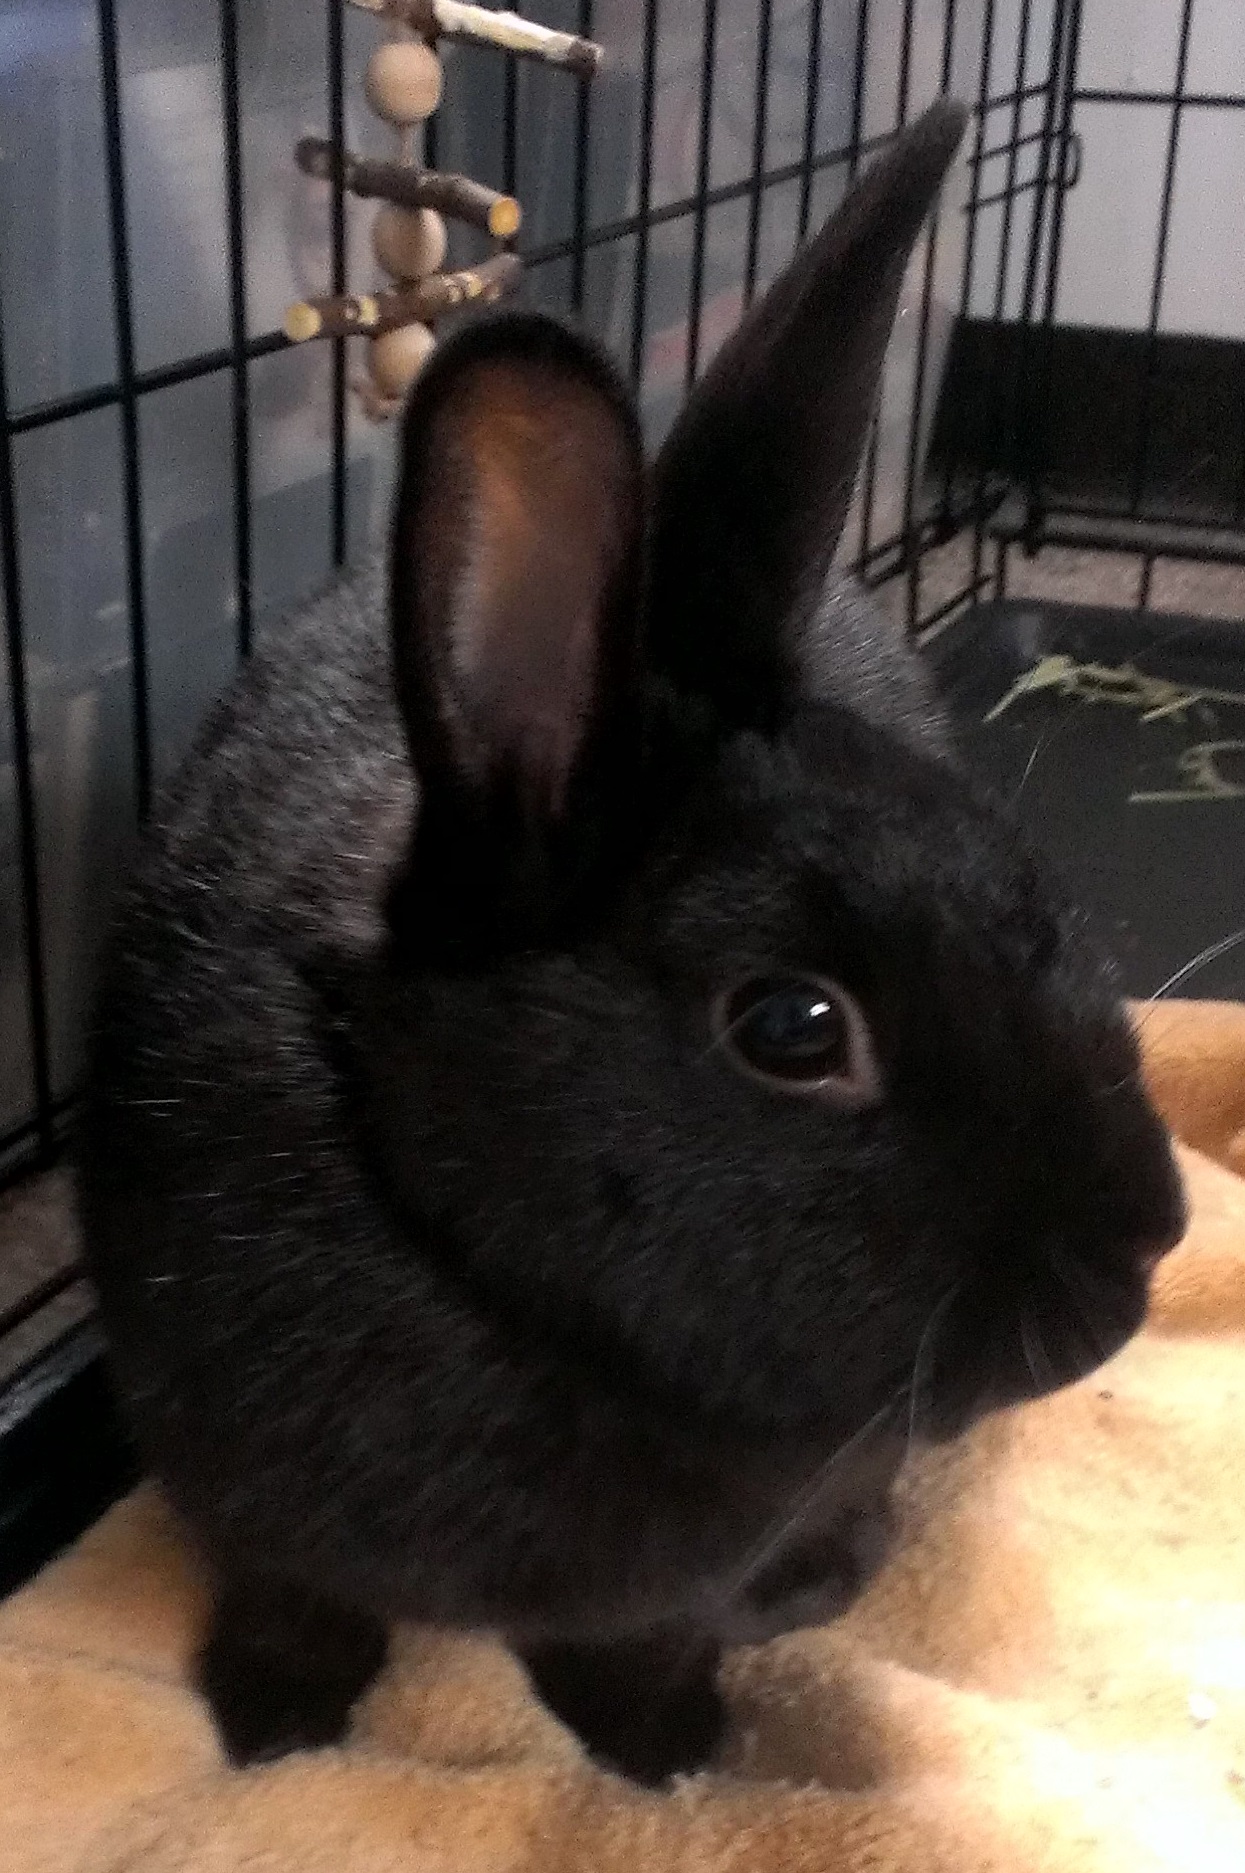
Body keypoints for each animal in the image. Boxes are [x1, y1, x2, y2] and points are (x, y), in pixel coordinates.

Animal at [79, 100, 1186, 1788]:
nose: (1146, 1251)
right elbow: (289, 1599)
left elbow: (636, 1641)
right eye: (793, 1027)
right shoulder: (226, 1488)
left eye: (1029, 892)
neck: (475, 1270)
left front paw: (666, 1755)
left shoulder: (681, 1567)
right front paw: (274, 1729)